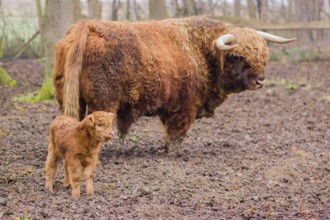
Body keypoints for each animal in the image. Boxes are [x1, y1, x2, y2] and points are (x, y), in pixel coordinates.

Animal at [52, 17, 296, 152]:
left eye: (263, 55)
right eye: (237, 56)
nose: (259, 80)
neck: (203, 51)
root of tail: (88, 26)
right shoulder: (185, 107)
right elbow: (177, 133)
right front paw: (171, 151)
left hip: (69, 98)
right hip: (103, 102)